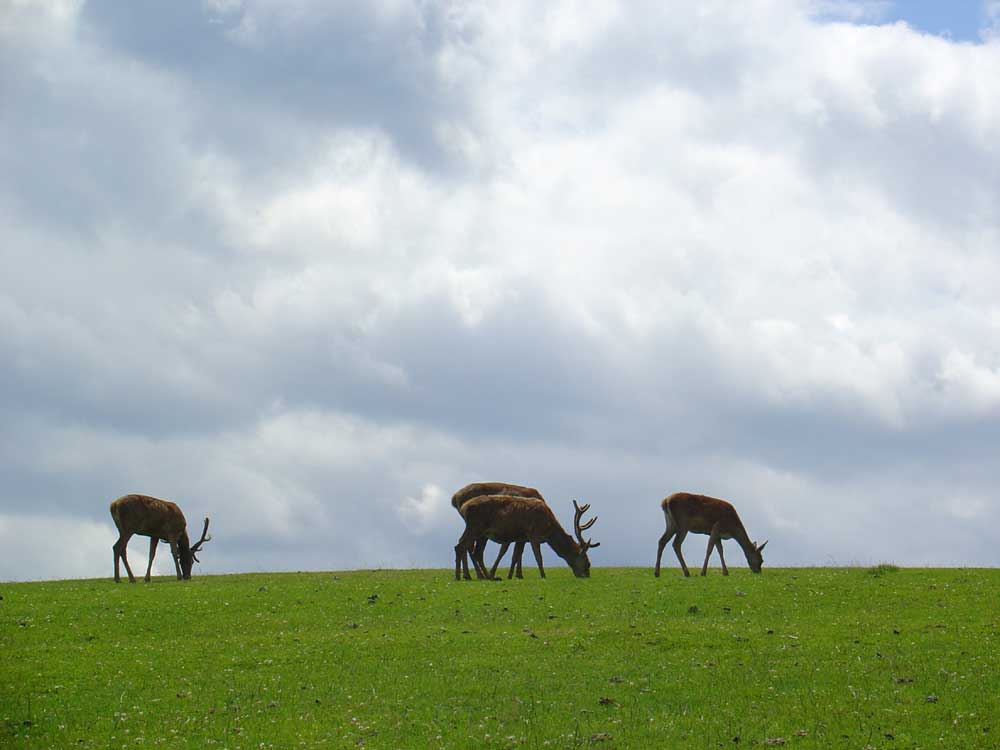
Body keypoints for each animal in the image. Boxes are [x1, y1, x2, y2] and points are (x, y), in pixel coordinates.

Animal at [456, 500, 600, 580]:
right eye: (587, 561)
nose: (587, 575)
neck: (549, 529)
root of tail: (464, 507)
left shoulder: (522, 537)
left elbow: (515, 556)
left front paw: (511, 576)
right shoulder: (533, 534)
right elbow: (538, 557)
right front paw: (543, 575)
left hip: (481, 533)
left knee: (473, 551)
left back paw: (483, 576)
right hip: (475, 527)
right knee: (462, 546)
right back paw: (463, 576)